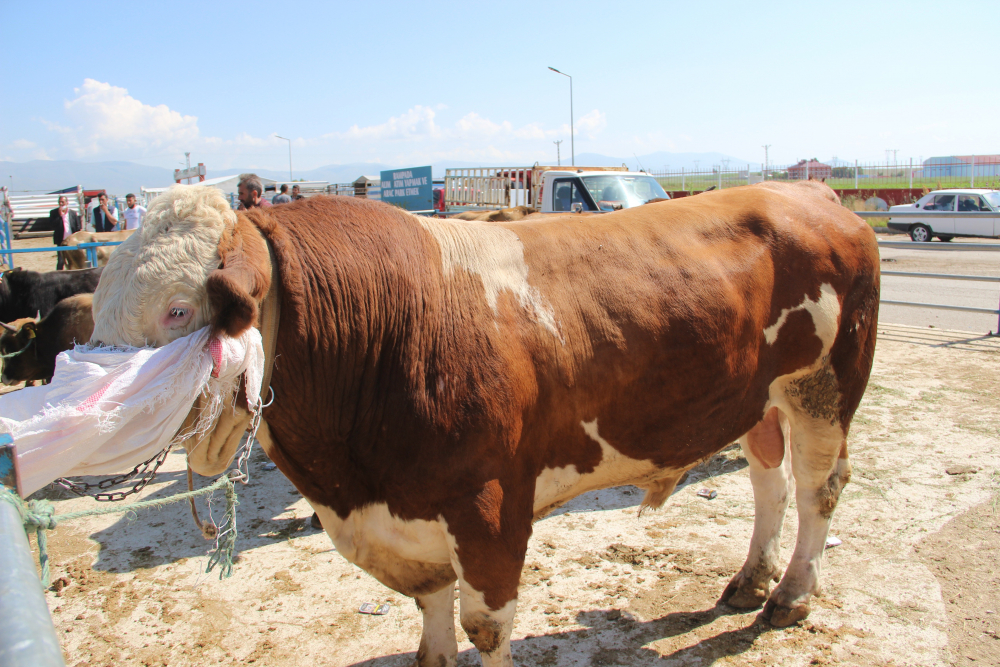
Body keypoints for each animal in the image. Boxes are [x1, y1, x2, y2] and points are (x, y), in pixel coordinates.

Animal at [90, 184, 880, 667]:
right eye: (98, 307)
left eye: (176, 309)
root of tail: (808, 194)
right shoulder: (405, 518)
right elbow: (431, 611)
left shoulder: (490, 507)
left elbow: (485, 625)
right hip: (760, 400)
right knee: (768, 482)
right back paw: (750, 577)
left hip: (823, 388)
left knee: (818, 489)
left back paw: (790, 594)